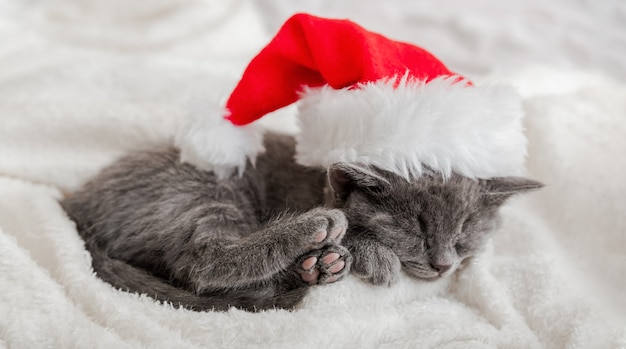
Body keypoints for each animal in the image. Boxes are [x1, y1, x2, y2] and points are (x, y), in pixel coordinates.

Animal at [62, 132, 540, 312]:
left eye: (465, 233)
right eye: (415, 229)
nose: (443, 265)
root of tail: (75, 205)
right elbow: (354, 223)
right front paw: (375, 254)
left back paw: (316, 267)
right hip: (201, 193)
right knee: (199, 263)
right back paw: (313, 234)